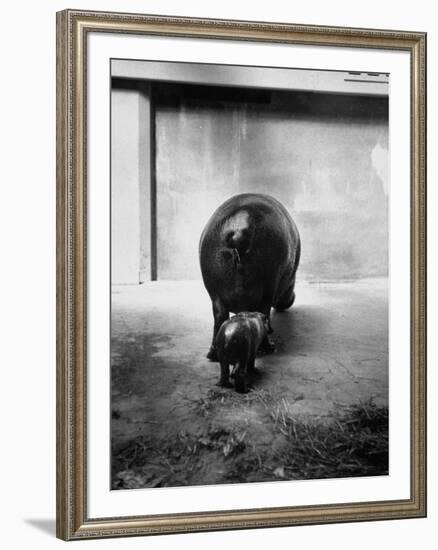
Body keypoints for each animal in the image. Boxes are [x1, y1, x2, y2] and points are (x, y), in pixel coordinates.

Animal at [199, 194, 300, 362]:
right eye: (291, 277)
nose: (292, 298)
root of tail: (240, 231)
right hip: (268, 287)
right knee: (264, 313)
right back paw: (269, 349)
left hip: (215, 295)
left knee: (219, 318)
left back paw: (213, 355)